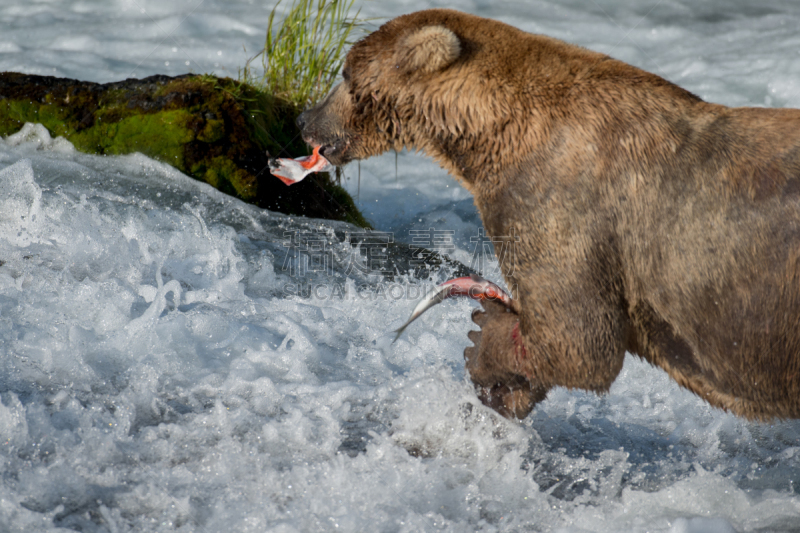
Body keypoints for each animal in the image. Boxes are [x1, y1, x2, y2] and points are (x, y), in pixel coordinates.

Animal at [296, 7, 800, 420]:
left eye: (343, 72)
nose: (305, 119)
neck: (488, 135)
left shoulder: (558, 204)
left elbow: (578, 339)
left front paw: (483, 341)